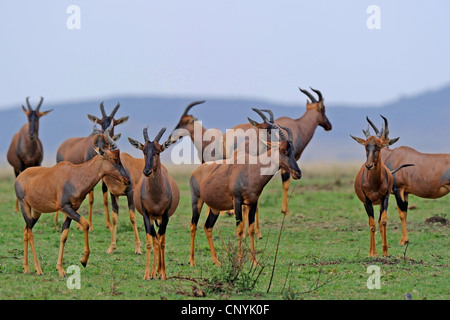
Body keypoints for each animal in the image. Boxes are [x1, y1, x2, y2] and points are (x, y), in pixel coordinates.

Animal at [14, 136, 130, 276]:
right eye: (114, 159)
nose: (128, 180)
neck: (74, 175)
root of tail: (20, 177)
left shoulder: (72, 209)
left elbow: (64, 235)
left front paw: (60, 269)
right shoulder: (65, 207)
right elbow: (85, 224)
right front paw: (84, 260)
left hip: (36, 211)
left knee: (26, 229)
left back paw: (26, 268)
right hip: (24, 205)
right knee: (30, 233)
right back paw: (38, 269)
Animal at [56, 102, 127, 230]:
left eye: (114, 123)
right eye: (101, 122)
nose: (101, 152)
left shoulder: (104, 176)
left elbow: (105, 198)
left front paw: (109, 225)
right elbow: (91, 199)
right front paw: (91, 225)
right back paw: (56, 224)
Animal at [128, 127, 179, 280]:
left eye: (157, 151)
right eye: (144, 151)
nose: (146, 171)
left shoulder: (165, 216)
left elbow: (162, 242)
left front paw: (163, 274)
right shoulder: (146, 215)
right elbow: (150, 243)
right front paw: (146, 274)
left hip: (160, 218)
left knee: (160, 239)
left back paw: (159, 271)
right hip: (153, 218)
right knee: (155, 239)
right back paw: (153, 272)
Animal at [187, 111, 302, 266]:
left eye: (293, 150)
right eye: (283, 150)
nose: (298, 173)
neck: (251, 168)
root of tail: (196, 172)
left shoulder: (252, 203)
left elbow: (251, 229)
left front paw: (254, 262)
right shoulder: (237, 201)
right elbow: (240, 229)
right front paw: (240, 260)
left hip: (215, 208)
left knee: (207, 226)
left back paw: (216, 261)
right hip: (196, 201)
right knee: (193, 225)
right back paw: (192, 261)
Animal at [352, 116, 414, 256]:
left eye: (379, 146)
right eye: (366, 146)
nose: (369, 165)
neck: (374, 182)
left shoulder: (385, 198)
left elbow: (384, 221)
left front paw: (385, 252)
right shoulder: (367, 201)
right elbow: (372, 225)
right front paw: (373, 253)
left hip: (380, 203)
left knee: (380, 222)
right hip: (367, 204)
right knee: (372, 223)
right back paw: (371, 251)